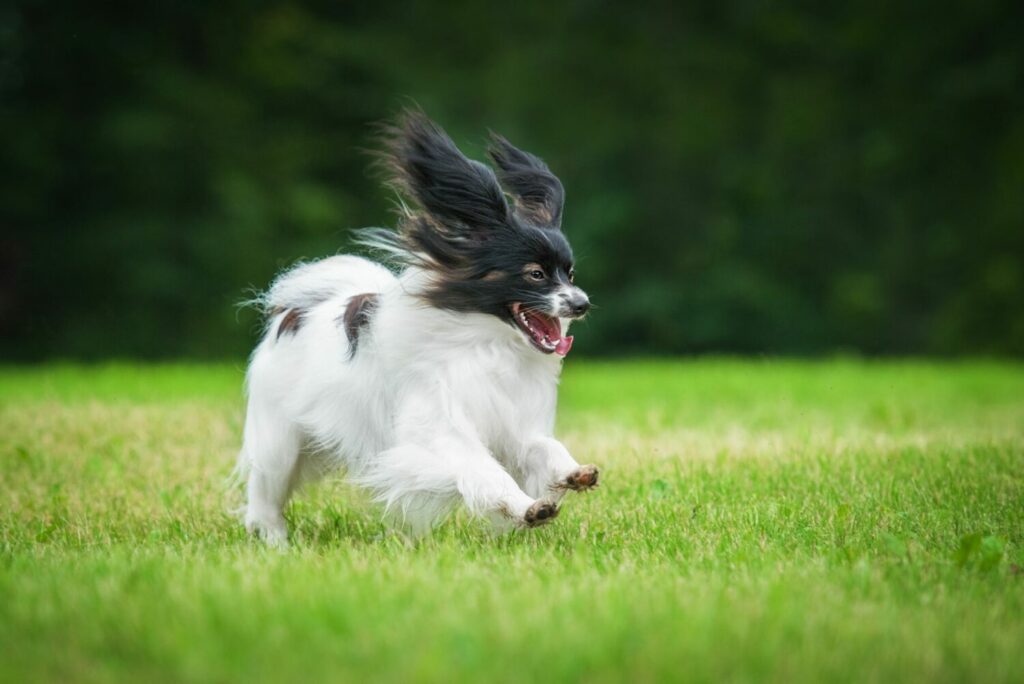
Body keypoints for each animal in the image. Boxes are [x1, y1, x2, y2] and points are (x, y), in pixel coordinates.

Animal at [235, 109, 598, 544]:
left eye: (570, 273)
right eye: (536, 274)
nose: (581, 304)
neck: (487, 342)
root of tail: (294, 312)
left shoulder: (513, 427)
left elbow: (544, 449)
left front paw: (570, 474)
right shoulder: (436, 431)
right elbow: (483, 471)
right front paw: (528, 508)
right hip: (281, 440)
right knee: (265, 491)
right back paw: (276, 542)